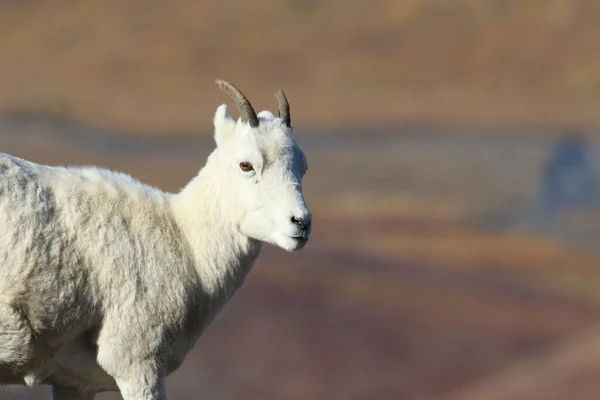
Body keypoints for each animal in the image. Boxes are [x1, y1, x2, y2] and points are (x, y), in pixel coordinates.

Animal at [0, 79, 314, 400]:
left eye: (303, 167)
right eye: (246, 165)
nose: (301, 223)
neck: (184, 239)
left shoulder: (73, 384)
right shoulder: (139, 366)